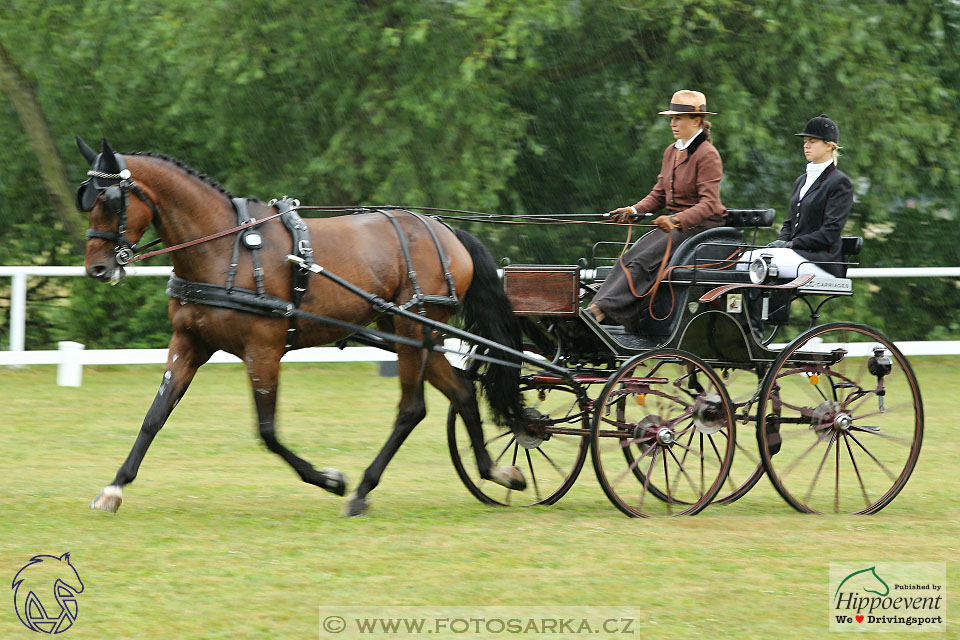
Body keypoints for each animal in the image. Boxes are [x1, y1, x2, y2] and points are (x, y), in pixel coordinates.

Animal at [75, 138, 524, 516]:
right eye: (87, 198)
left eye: (110, 200)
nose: (97, 268)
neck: (224, 249)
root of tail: (445, 231)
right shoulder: (189, 343)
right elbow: (155, 415)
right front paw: (115, 487)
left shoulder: (263, 350)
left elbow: (268, 431)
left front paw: (330, 479)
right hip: (412, 332)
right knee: (462, 392)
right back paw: (495, 471)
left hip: (415, 330)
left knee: (411, 408)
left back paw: (363, 489)